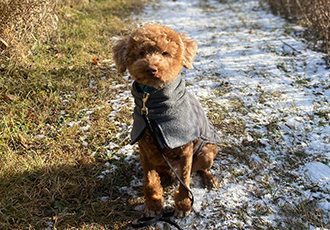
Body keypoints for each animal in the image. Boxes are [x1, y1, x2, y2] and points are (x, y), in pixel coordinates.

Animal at [112, 24, 220, 218]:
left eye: (165, 53)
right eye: (141, 53)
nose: (151, 68)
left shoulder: (185, 151)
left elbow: (185, 182)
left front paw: (183, 207)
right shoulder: (145, 149)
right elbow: (149, 181)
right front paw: (154, 206)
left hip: (207, 152)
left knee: (200, 169)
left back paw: (210, 179)